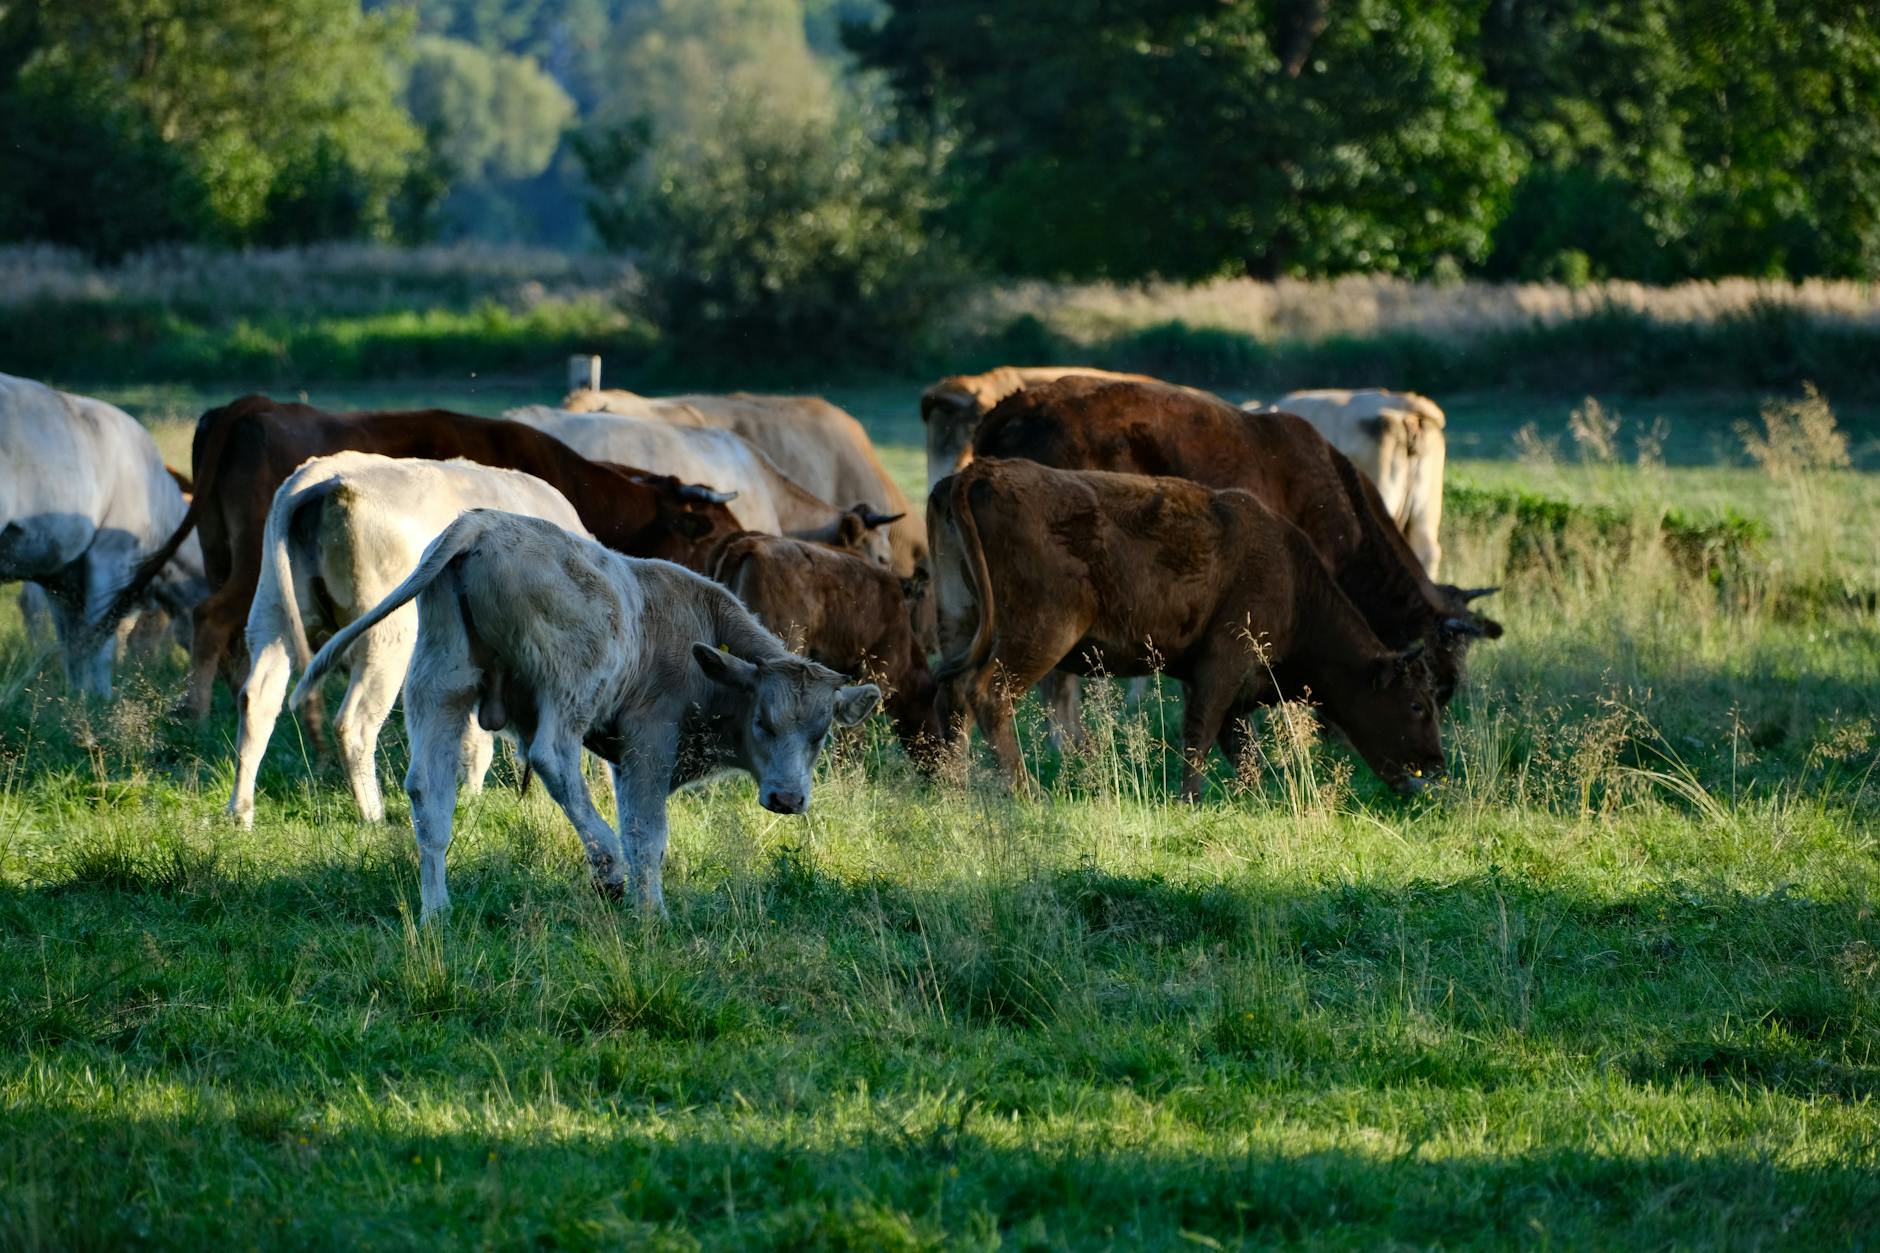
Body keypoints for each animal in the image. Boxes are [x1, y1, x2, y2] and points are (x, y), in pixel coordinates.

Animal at [0, 373, 208, 695]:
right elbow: (101, 641)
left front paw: (77, 696)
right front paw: (101, 696)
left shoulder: (62, 580)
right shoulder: (110, 559)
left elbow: (74, 644)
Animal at [103, 397, 744, 720]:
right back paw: (197, 715)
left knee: (241, 641)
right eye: (712, 535)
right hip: (247, 568)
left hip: (225, 554)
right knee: (212, 619)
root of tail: (248, 406)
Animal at [232, 452, 708, 829]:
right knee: (354, 722)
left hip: (271, 615)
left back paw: (241, 813)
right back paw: (375, 815)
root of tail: (327, 476)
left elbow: (478, 737)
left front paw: (472, 795)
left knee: (258, 699)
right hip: (386, 637)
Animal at [289, 510, 881, 920]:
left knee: (429, 796)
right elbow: (646, 836)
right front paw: (652, 914)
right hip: (571, 686)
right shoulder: (648, 743)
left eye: (821, 734)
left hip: (440, 685)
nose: (788, 799)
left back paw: (437, 912)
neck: (696, 631)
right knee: (553, 758)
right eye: (763, 721)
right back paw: (606, 865)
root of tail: (478, 525)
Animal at [929, 458, 1446, 798]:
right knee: (988, 694)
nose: (1437, 765)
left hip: (961, 623)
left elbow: (1240, 747)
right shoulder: (1222, 667)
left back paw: (952, 788)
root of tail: (980, 472)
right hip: (1039, 633)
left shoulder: (1232, 689)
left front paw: (1252, 797)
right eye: (1417, 705)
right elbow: (1200, 733)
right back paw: (1027, 791)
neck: (1294, 585)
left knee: (951, 696)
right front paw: (1190, 798)